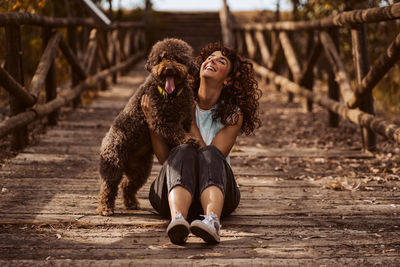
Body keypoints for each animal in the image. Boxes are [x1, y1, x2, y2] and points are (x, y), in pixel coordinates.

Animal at [97, 37, 200, 217]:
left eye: (178, 58)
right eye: (161, 58)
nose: (168, 68)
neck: (171, 96)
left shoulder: (186, 120)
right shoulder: (162, 120)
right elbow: (177, 132)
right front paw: (190, 140)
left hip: (140, 170)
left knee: (127, 185)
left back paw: (131, 203)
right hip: (113, 161)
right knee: (108, 185)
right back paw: (105, 208)